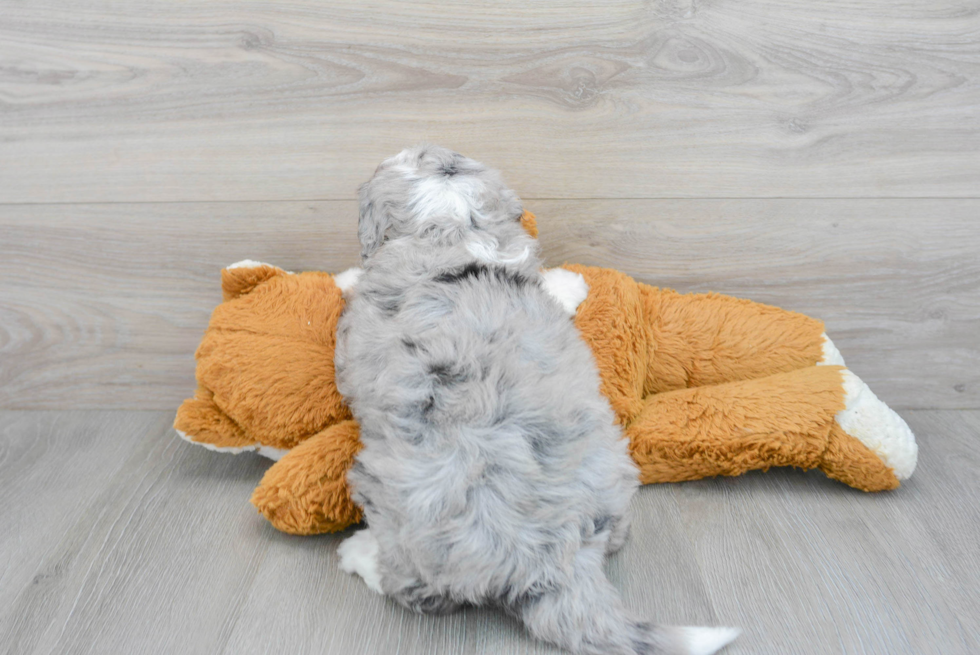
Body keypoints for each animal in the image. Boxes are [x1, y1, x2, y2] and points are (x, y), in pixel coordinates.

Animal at [334, 147, 736, 655]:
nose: (402, 149)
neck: (451, 228)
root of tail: (555, 564)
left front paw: (344, 275)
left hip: (392, 502)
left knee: (414, 589)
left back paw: (357, 553)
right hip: (614, 479)